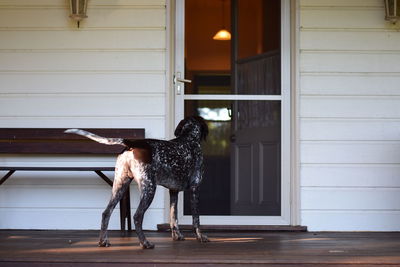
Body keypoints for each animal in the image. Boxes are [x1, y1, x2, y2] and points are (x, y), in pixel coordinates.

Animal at [65, 116, 209, 250]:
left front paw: (177, 236)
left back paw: (103, 241)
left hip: (119, 186)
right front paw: (200, 237)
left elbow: (174, 217)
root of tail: (132, 143)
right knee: (137, 216)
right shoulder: (195, 188)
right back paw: (145, 243)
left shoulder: (173, 191)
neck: (188, 139)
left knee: (106, 213)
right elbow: (196, 219)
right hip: (149, 189)